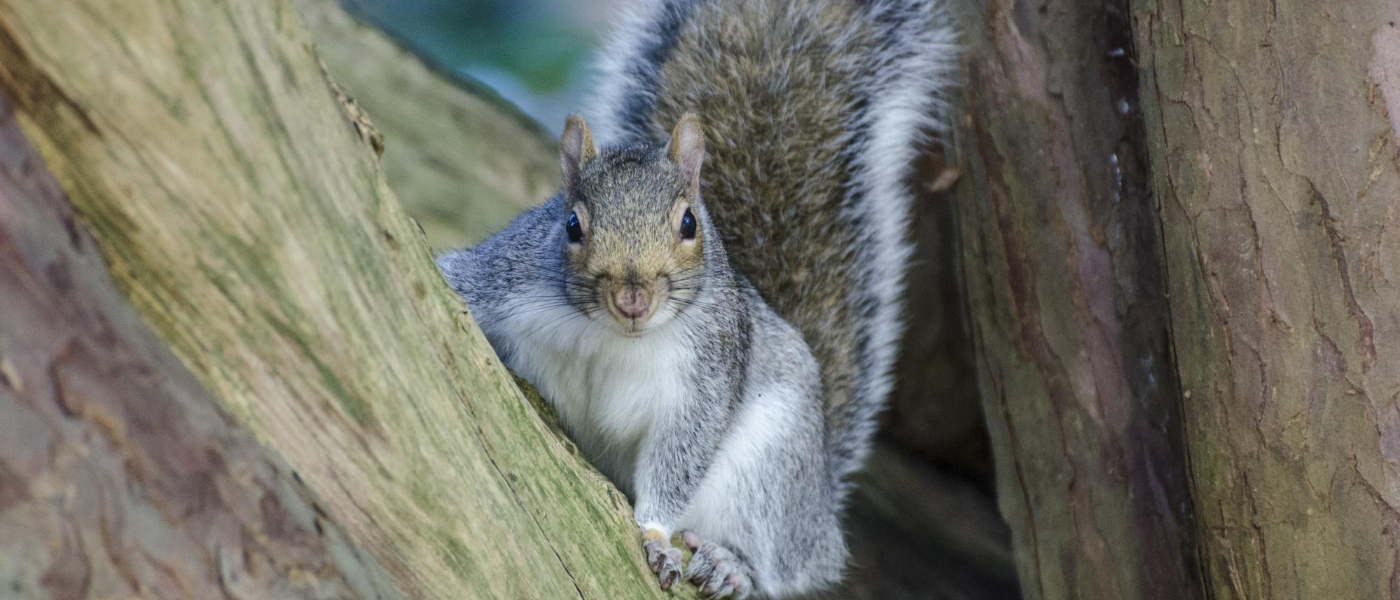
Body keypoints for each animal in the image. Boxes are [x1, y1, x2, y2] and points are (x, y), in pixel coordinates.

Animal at [439, 0, 963, 593]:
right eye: (572, 225)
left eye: (689, 223)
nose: (633, 298)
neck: (614, 337)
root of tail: (819, 509)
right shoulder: (506, 277)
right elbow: (454, 279)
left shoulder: (704, 379)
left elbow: (680, 457)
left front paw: (652, 535)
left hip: (770, 469)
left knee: (776, 564)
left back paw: (730, 564)